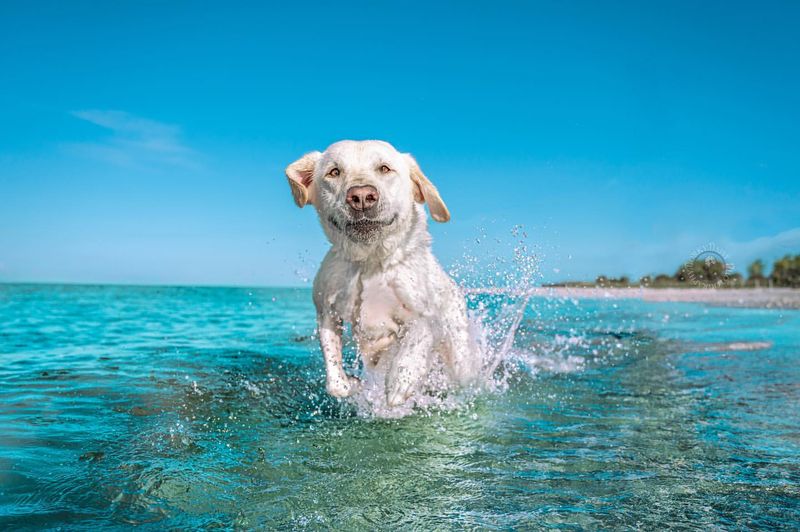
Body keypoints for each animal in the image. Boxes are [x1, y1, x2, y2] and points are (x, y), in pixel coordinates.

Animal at [286, 139, 478, 406]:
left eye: (384, 168)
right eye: (334, 172)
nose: (361, 196)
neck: (371, 262)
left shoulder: (426, 312)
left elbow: (418, 335)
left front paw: (401, 380)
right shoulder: (326, 312)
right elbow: (334, 378)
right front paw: (352, 384)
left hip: (460, 356)